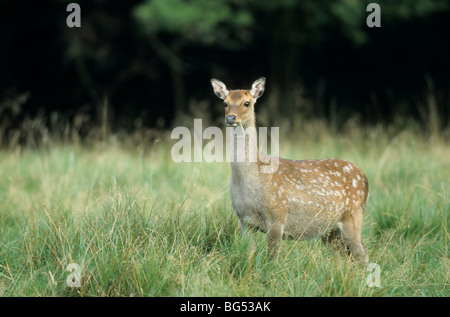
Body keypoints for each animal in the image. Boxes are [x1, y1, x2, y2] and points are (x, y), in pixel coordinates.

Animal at [211, 78, 370, 260]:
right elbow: (249, 253)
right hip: (330, 231)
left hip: (353, 215)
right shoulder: (243, 219)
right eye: (225, 103)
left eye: (247, 103)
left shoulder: (277, 216)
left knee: (362, 255)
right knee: (345, 258)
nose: (231, 118)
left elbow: (272, 258)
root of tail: (365, 179)